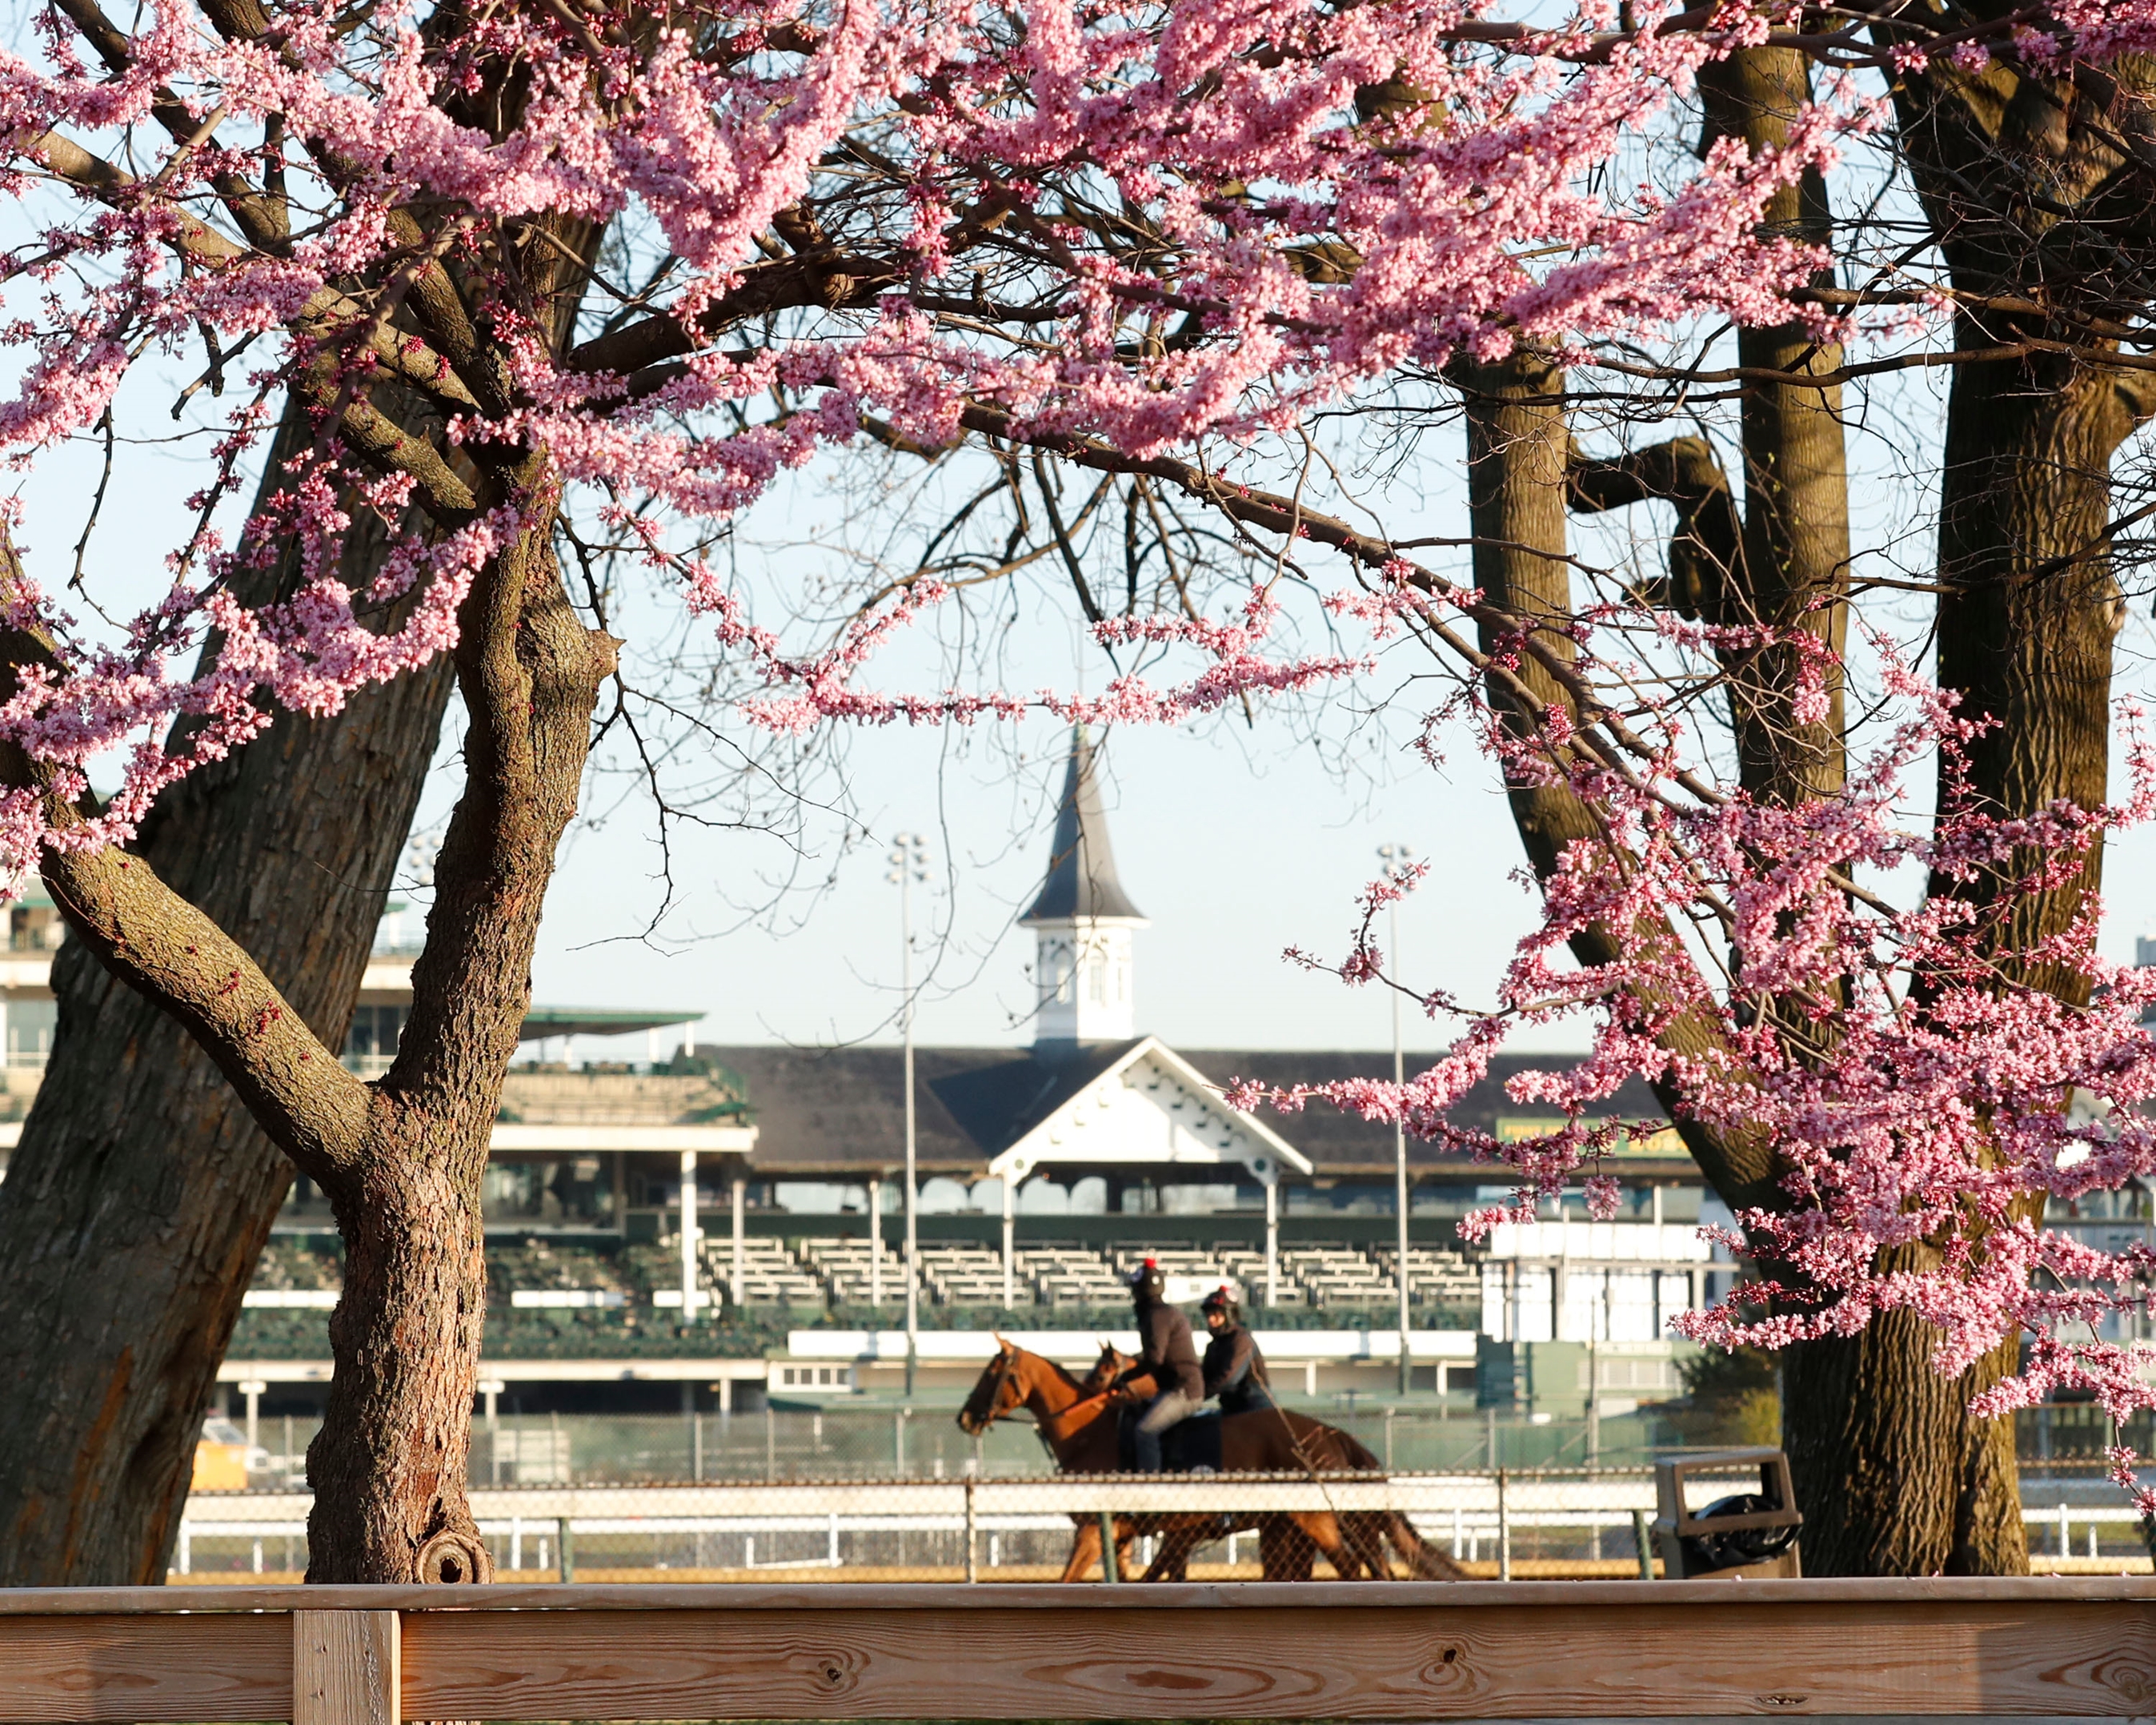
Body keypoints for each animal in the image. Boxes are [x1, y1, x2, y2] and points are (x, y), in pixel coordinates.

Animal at [952, 1337, 1457, 1587]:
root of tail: (1331, 1433)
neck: (1093, 1433)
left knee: (1354, 1569)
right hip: (1293, 1529)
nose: (965, 1417)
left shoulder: (1096, 1532)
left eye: (993, 1370)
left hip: (1315, 1521)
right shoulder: (1131, 1537)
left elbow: (1070, 1579)